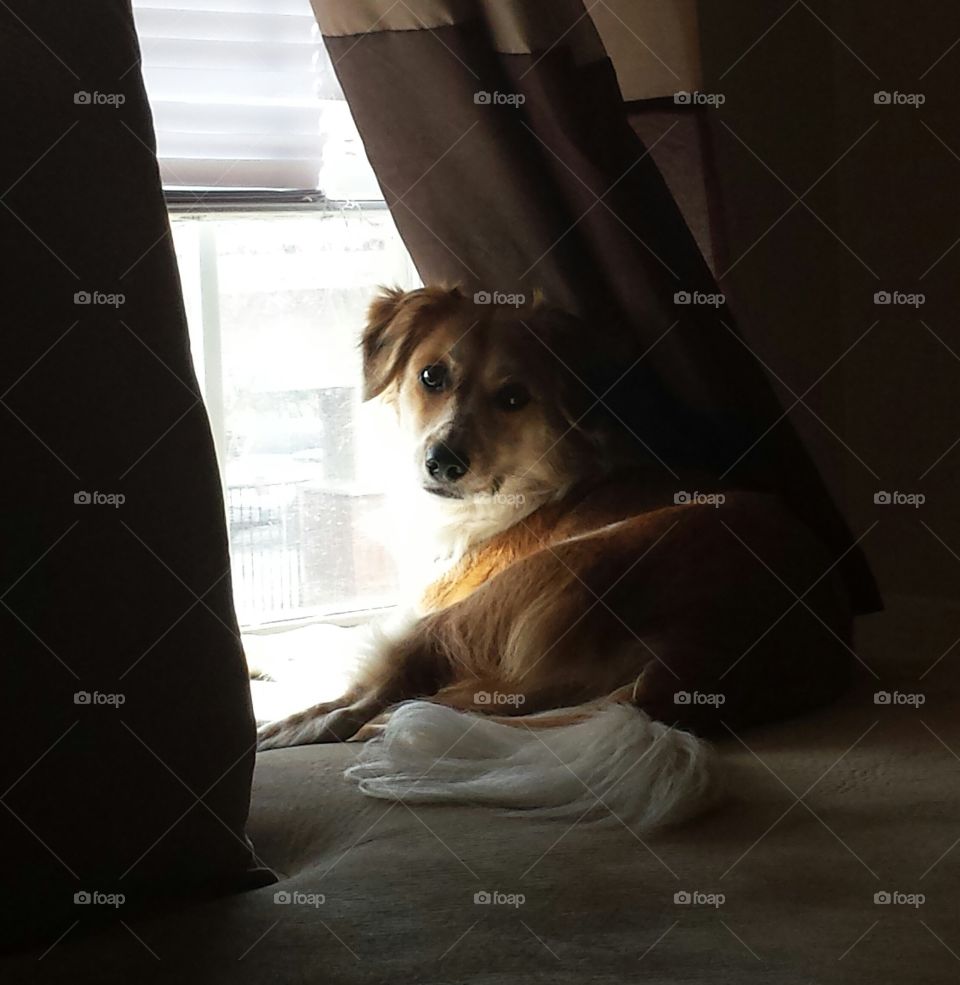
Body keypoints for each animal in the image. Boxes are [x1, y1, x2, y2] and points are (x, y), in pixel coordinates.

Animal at [256, 286, 856, 832]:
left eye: (513, 398)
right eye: (431, 376)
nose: (443, 461)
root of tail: (688, 669)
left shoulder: (433, 606)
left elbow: (354, 650)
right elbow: (324, 636)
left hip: (540, 576)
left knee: (366, 702)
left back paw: (281, 729)